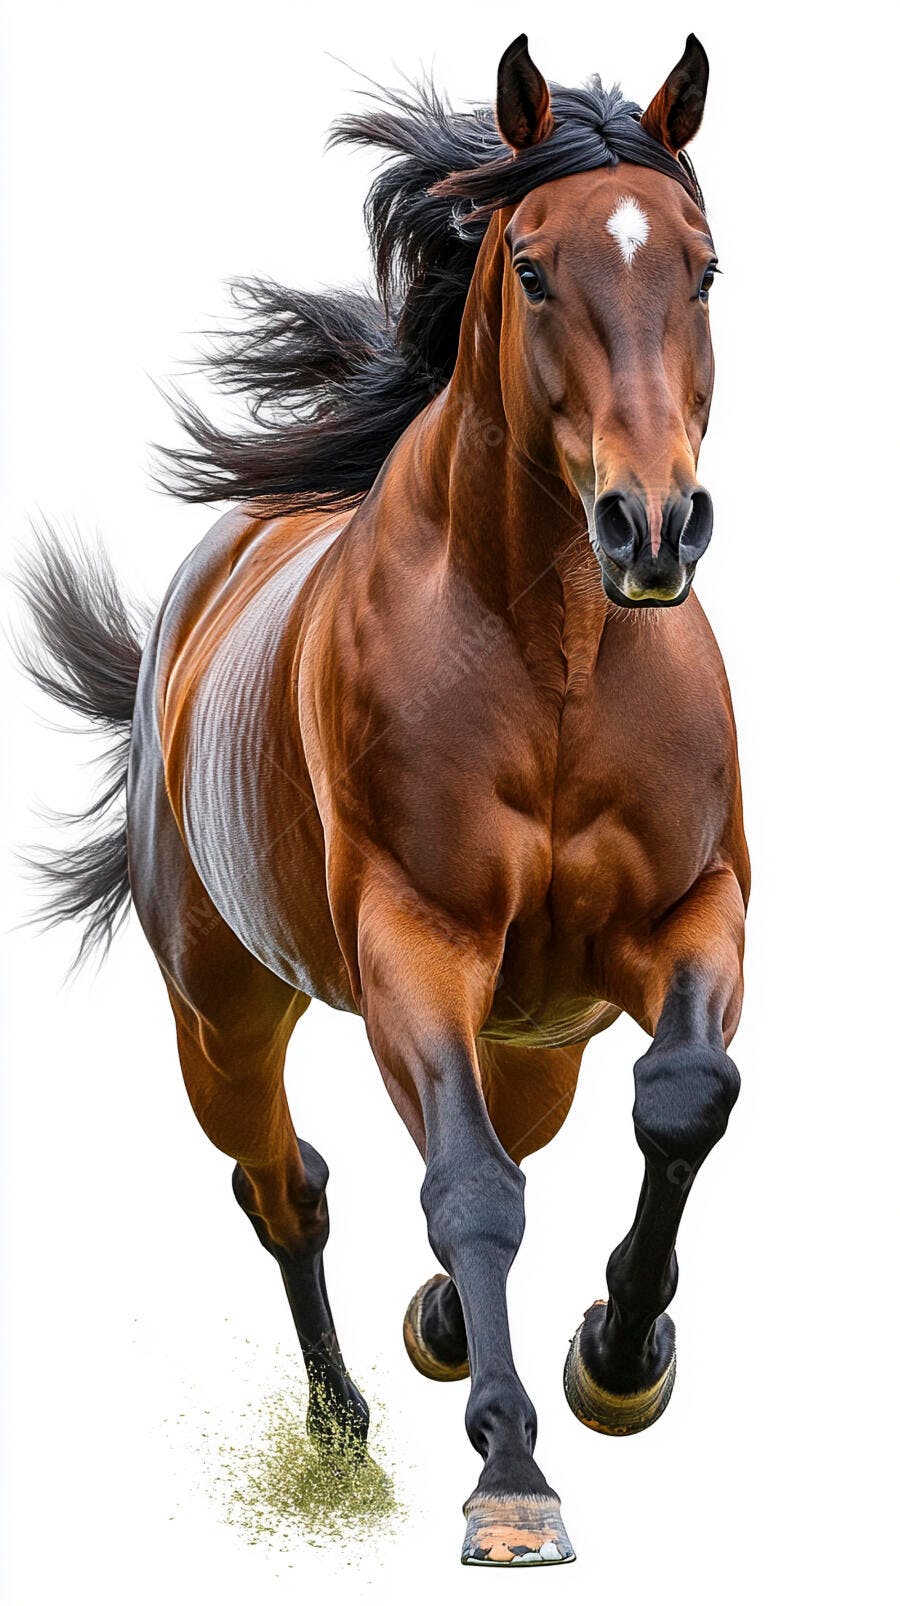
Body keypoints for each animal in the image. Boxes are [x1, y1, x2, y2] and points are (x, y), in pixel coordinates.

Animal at [19, 34, 748, 1567]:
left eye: (704, 268)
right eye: (530, 266)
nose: (652, 528)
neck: (557, 667)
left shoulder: (693, 909)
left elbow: (682, 1096)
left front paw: (619, 1360)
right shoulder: (417, 940)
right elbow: (466, 1185)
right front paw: (515, 1481)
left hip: (537, 1034)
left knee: (512, 1136)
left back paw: (446, 1328)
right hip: (223, 1015)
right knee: (288, 1186)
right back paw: (347, 1417)